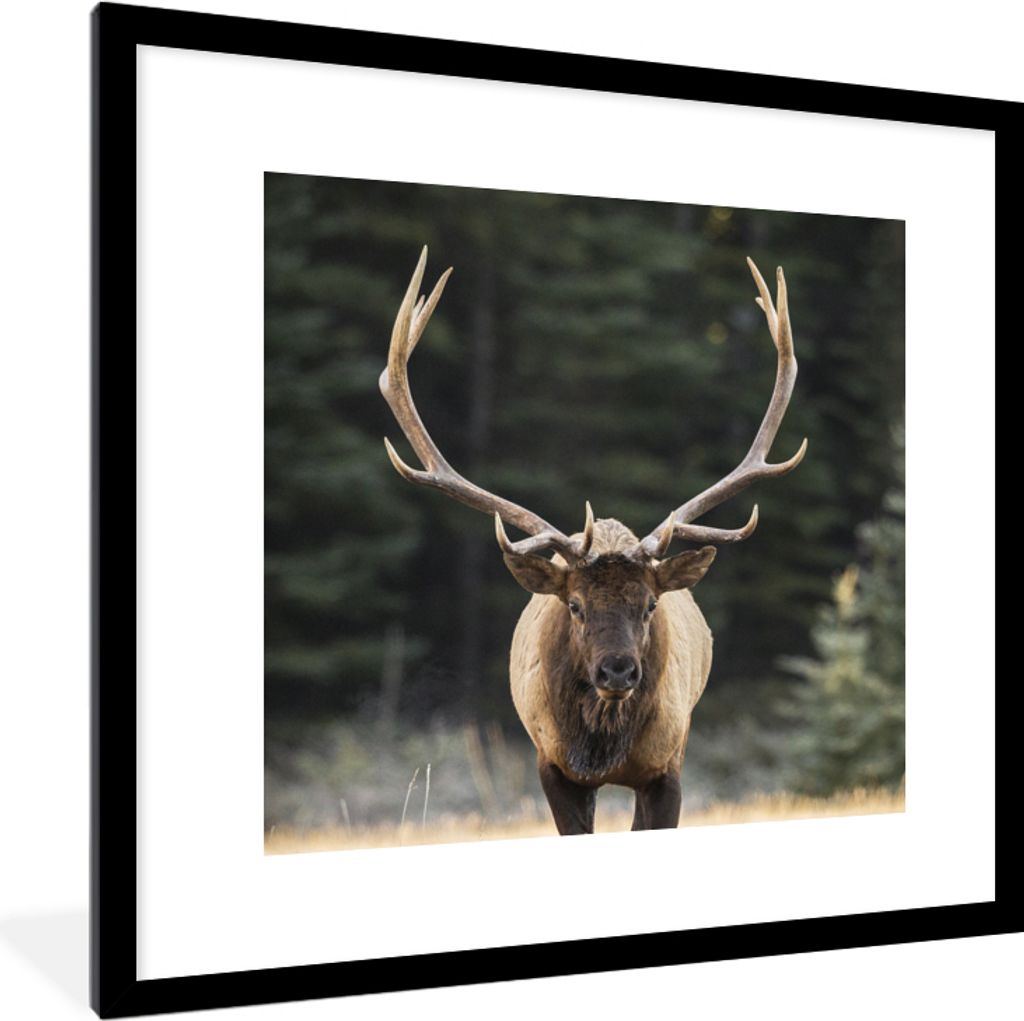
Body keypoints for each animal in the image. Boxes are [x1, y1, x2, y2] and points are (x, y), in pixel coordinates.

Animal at [379, 247, 806, 835]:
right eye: (575, 605)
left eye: (650, 604)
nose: (617, 670)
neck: (603, 749)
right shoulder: (552, 765)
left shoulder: (667, 765)